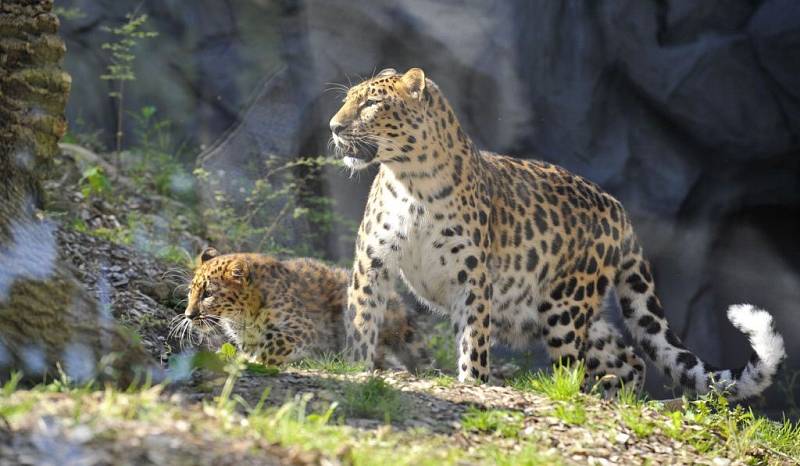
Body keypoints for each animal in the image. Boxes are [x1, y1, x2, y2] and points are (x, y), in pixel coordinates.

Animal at [177, 248, 432, 372]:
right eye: (191, 292)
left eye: (208, 294)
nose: (189, 315)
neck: (242, 318)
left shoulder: (303, 328)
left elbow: (272, 343)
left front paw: (251, 360)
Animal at [330, 67, 788, 398]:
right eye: (347, 99)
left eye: (371, 103)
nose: (334, 127)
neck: (413, 181)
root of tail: (619, 209)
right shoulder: (372, 261)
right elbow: (362, 318)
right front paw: (355, 365)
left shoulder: (472, 277)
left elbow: (473, 337)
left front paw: (472, 383)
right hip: (548, 309)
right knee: (628, 356)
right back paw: (614, 396)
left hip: (565, 303)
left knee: (577, 363)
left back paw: (579, 394)